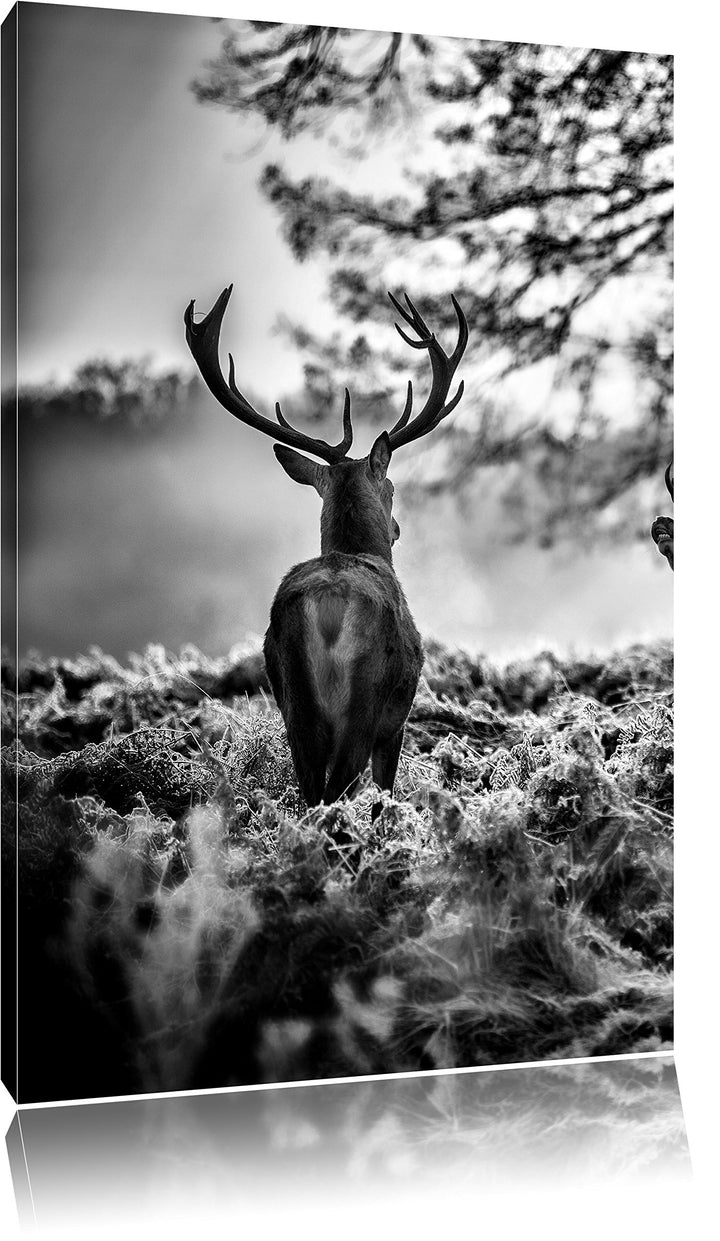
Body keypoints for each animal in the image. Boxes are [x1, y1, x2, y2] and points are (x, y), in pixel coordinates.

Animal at [184, 285, 468, 818]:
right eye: (392, 488)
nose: (396, 528)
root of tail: (330, 604)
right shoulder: (396, 722)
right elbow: (384, 789)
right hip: (366, 699)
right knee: (336, 790)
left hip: (294, 700)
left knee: (310, 791)